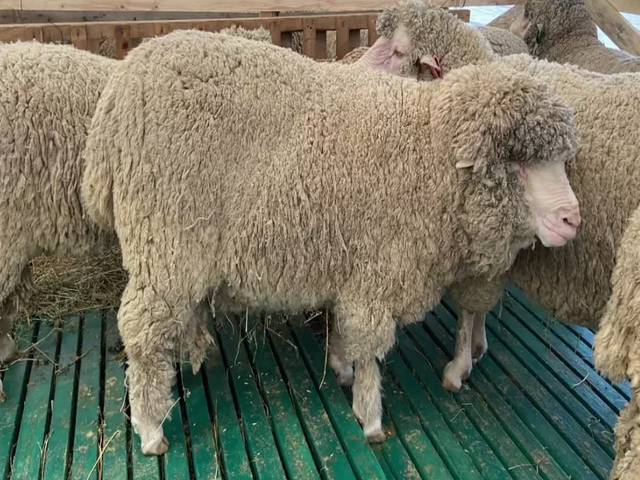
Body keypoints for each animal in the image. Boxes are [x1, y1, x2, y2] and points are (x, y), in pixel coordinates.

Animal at [80, 28, 582, 454]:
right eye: (517, 163)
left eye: (561, 160)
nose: (572, 219)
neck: (427, 151)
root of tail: (118, 93)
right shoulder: (378, 269)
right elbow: (370, 348)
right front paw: (371, 417)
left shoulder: (353, 264)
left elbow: (344, 329)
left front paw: (340, 368)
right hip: (165, 243)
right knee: (140, 332)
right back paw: (150, 430)